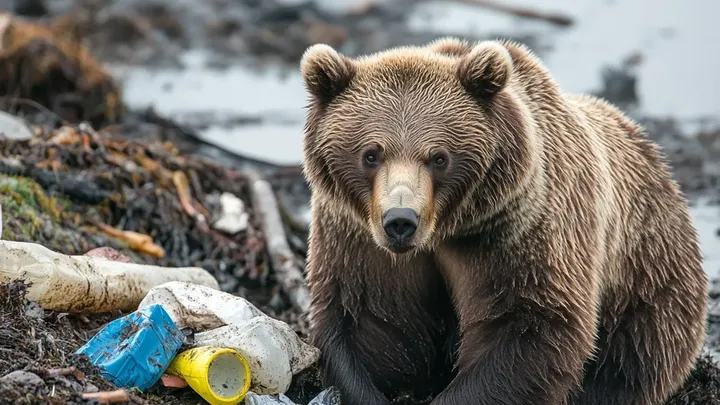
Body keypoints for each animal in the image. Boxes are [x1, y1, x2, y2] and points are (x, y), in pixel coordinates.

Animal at [298, 36, 708, 405]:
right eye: (371, 154)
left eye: (439, 157)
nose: (401, 219)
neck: (447, 228)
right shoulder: (358, 236)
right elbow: (373, 320)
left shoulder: (519, 228)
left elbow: (528, 325)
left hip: (645, 277)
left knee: (628, 359)